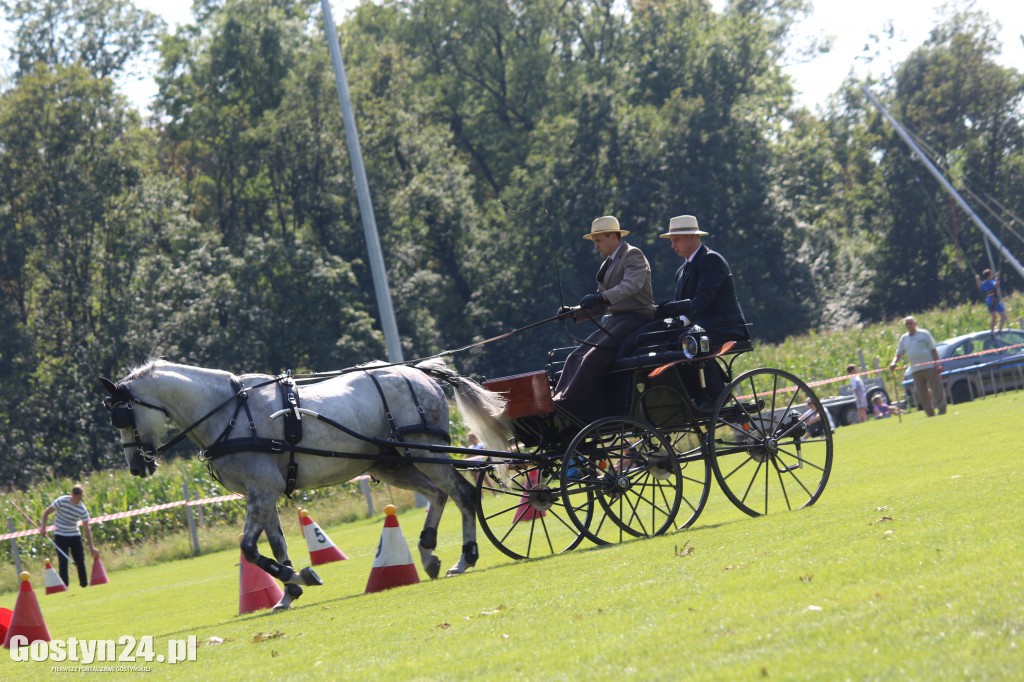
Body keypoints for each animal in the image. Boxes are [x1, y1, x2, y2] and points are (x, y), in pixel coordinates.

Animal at [99, 358, 507, 606]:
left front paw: (298, 576)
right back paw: (428, 553)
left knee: (462, 493)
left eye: (123, 416)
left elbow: (248, 547)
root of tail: (415, 372)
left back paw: (464, 558)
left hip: (424, 450)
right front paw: (290, 589)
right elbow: (276, 543)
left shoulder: (262, 490)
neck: (228, 413)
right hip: (394, 465)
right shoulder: (262, 493)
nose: (136, 468)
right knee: (438, 494)